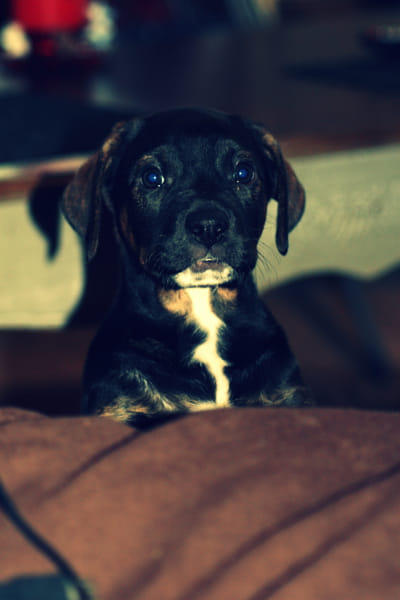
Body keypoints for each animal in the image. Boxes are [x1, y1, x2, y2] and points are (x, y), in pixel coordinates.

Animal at [62, 108, 311, 427]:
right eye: (152, 177)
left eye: (243, 173)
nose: (209, 227)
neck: (202, 308)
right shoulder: (119, 407)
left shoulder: (286, 400)